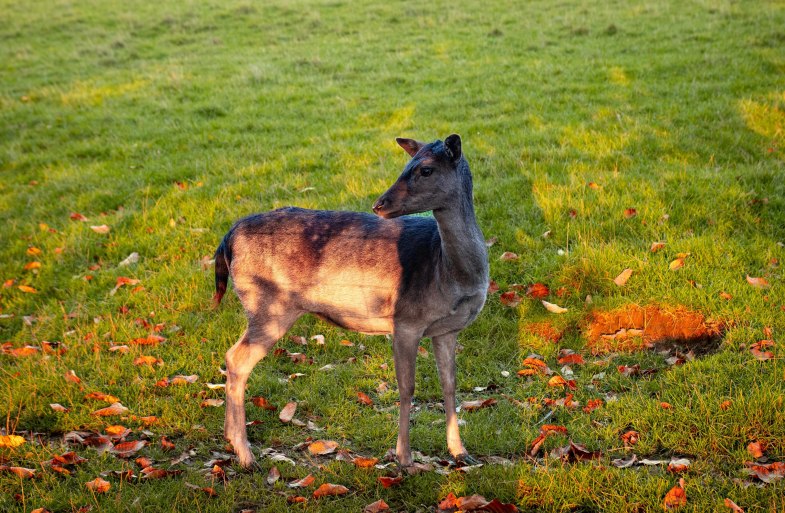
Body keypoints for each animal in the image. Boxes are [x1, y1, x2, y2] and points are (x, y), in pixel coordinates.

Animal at [213, 134, 489, 469]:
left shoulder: (448, 329)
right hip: (267, 303)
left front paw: (460, 452)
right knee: (237, 359)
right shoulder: (406, 319)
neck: (450, 273)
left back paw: (230, 439)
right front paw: (404, 459)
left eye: (425, 169)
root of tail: (227, 238)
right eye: (406, 165)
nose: (380, 204)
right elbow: (406, 387)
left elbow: (449, 384)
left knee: (232, 357)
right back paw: (245, 454)